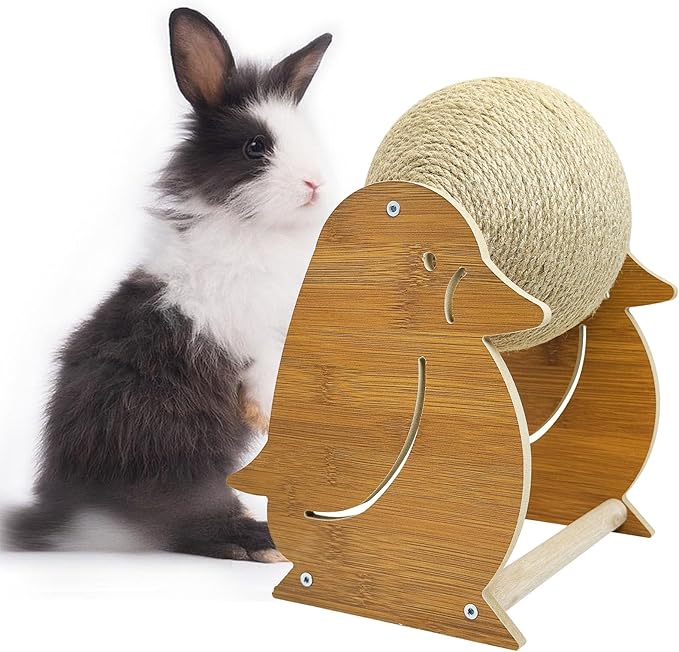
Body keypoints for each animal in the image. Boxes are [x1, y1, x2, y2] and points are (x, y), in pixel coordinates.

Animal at [3, 7, 332, 561]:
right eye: (256, 147)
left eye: (308, 136)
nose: (315, 184)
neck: (255, 231)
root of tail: (71, 515)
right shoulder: (252, 338)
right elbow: (265, 382)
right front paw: (267, 418)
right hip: (183, 451)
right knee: (187, 524)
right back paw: (258, 541)